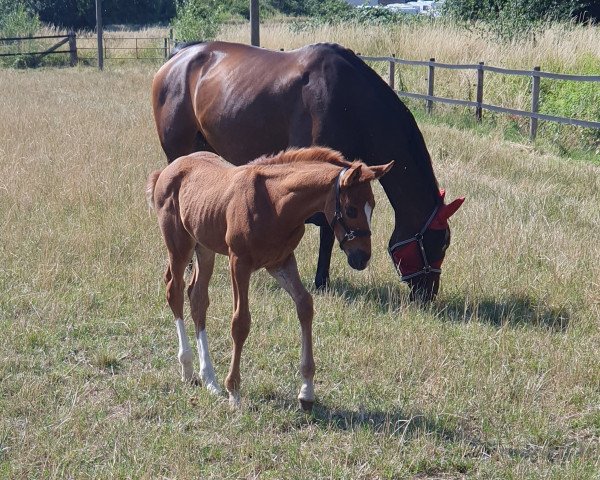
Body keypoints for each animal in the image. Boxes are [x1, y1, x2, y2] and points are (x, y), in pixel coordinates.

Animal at [146, 147, 394, 408]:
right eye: (351, 210)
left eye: (373, 206)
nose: (362, 258)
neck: (274, 203)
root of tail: (167, 169)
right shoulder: (239, 263)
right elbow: (240, 322)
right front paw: (234, 391)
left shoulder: (280, 262)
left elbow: (305, 305)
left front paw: (307, 391)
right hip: (179, 245)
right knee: (175, 291)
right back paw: (188, 369)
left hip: (204, 247)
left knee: (197, 298)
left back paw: (210, 379)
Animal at [151, 40, 464, 300]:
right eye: (441, 243)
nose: (428, 294)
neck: (351, 101)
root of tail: (178, 56)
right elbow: (327, 229)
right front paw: (321, 280)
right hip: (177, 152)